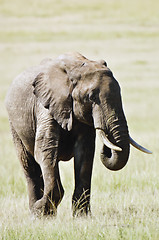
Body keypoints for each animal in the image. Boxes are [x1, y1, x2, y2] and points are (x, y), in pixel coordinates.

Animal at [5, 52, 152, 218]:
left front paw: (82, 217)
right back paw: (35, 214)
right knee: (28, 165)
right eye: (90, 97)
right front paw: (41, 212)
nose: (108, 147)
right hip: (14, 125)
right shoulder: (45, 105)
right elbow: (45, 150)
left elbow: (85, 153)